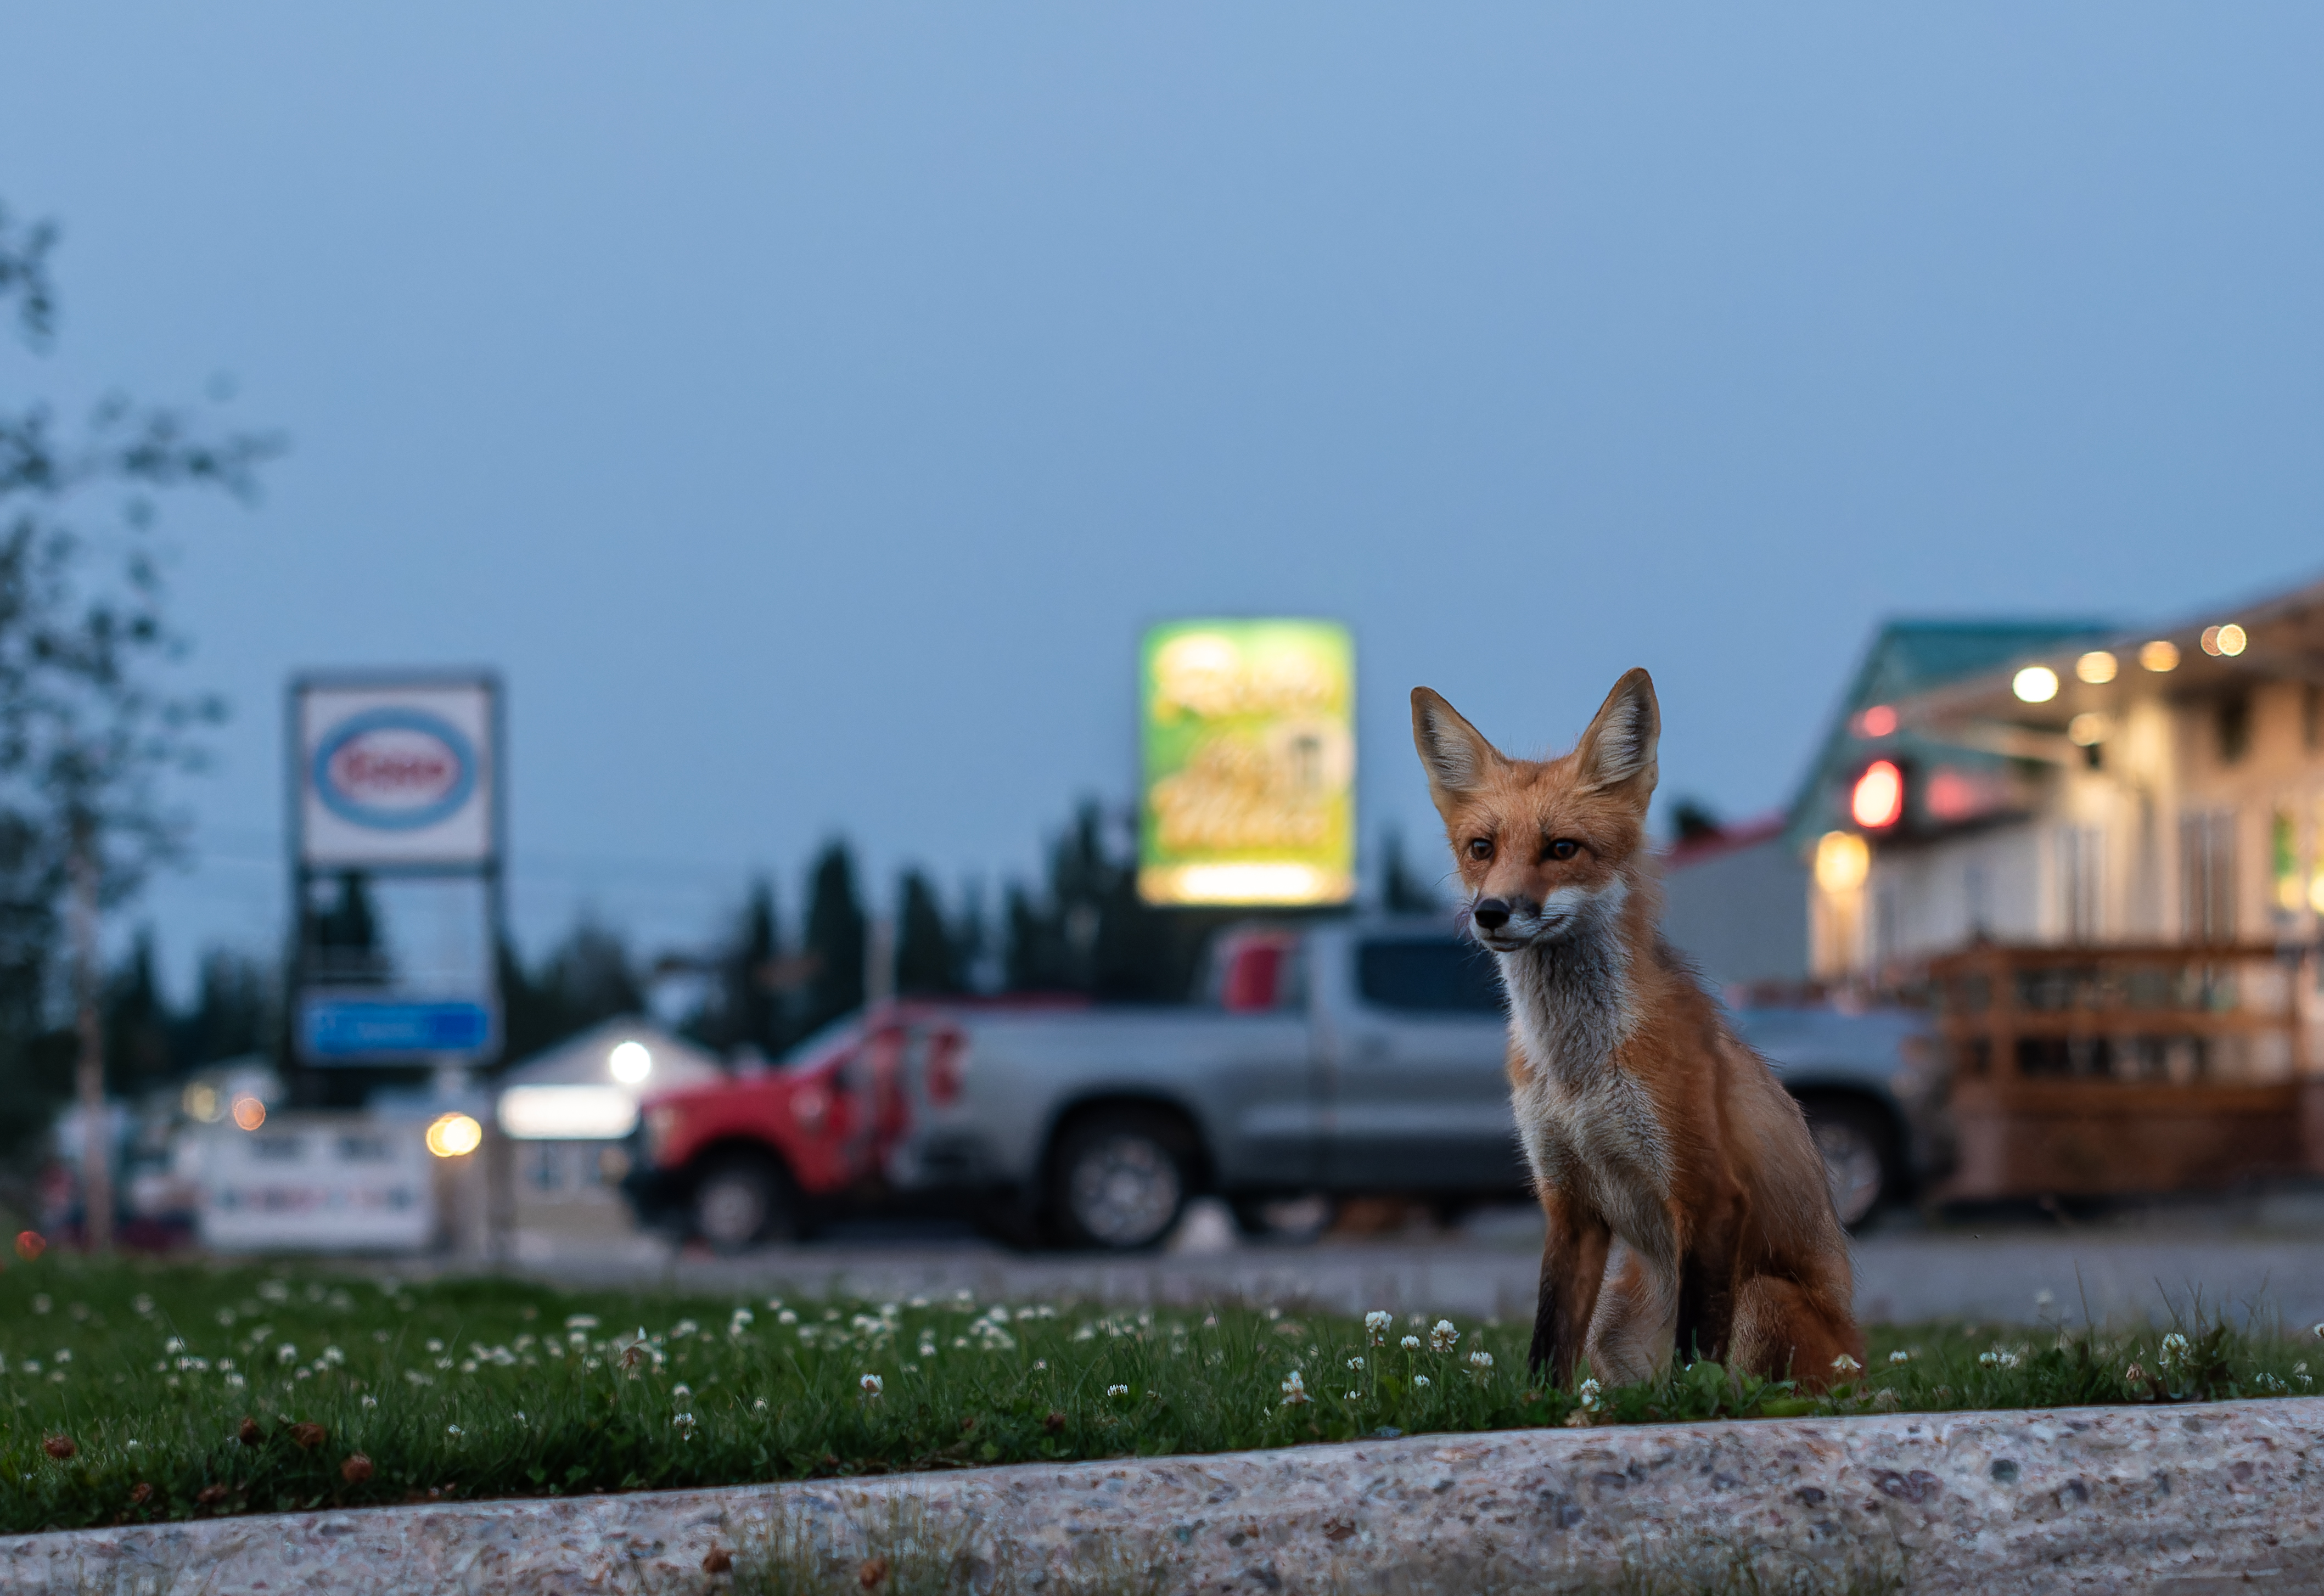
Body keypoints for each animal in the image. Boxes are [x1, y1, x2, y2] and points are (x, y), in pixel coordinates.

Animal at [1404, 669, 1859, 1393]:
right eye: (1482, 849)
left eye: (1561, 848)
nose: (1491, 912)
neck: (1578, 1071)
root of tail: (1865, 1364)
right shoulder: (1568, 1203)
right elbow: (1546, 1345)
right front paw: (1545, 1414)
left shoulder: (1708, 1194)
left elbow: (1694, 1360)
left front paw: (1684, 1411)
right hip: (1612, 1320)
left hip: (1762, 1296)